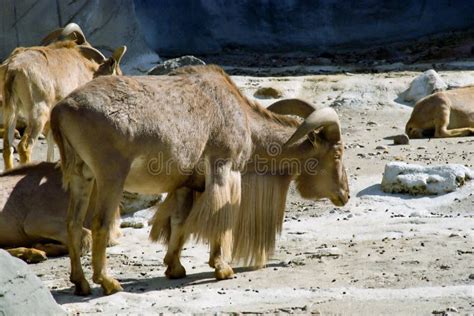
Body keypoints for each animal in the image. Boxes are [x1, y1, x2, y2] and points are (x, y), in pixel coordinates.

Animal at [51, 64, 348, 296]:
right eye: (337, 153)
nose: (344, 194)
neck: (245, 121)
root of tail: (61, 109)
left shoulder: (185, 185)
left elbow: (180, 222)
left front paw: (175, 267)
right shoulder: (224, 169)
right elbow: (221, 216)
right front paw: (222, 267)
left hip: (81, 177)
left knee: (73, 224)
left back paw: (81, 283)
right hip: (111, 176)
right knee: (100, 224)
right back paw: (108, 282)